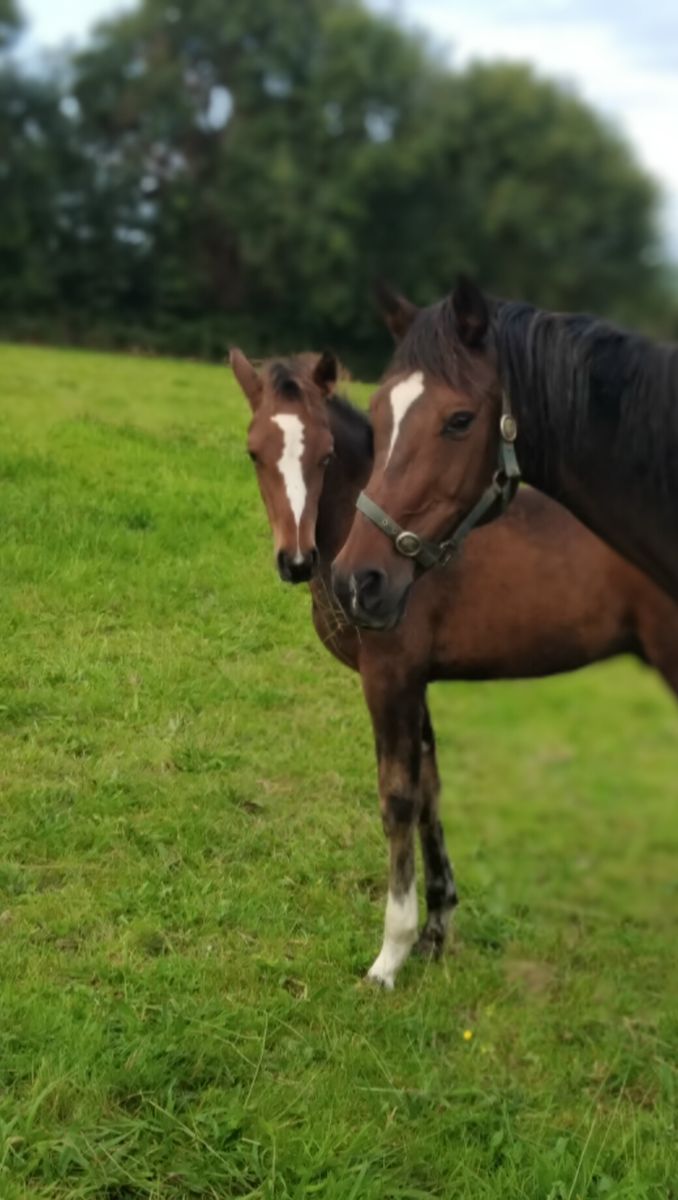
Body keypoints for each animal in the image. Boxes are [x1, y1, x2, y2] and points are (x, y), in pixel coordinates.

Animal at [231, 347, 678, 990]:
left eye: (325, 454)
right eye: (254, 452)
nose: (296, 560)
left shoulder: (389, 676)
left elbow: (397, 798)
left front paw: (389, 956)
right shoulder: (417, 680)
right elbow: (430, 790)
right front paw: (435, 931)